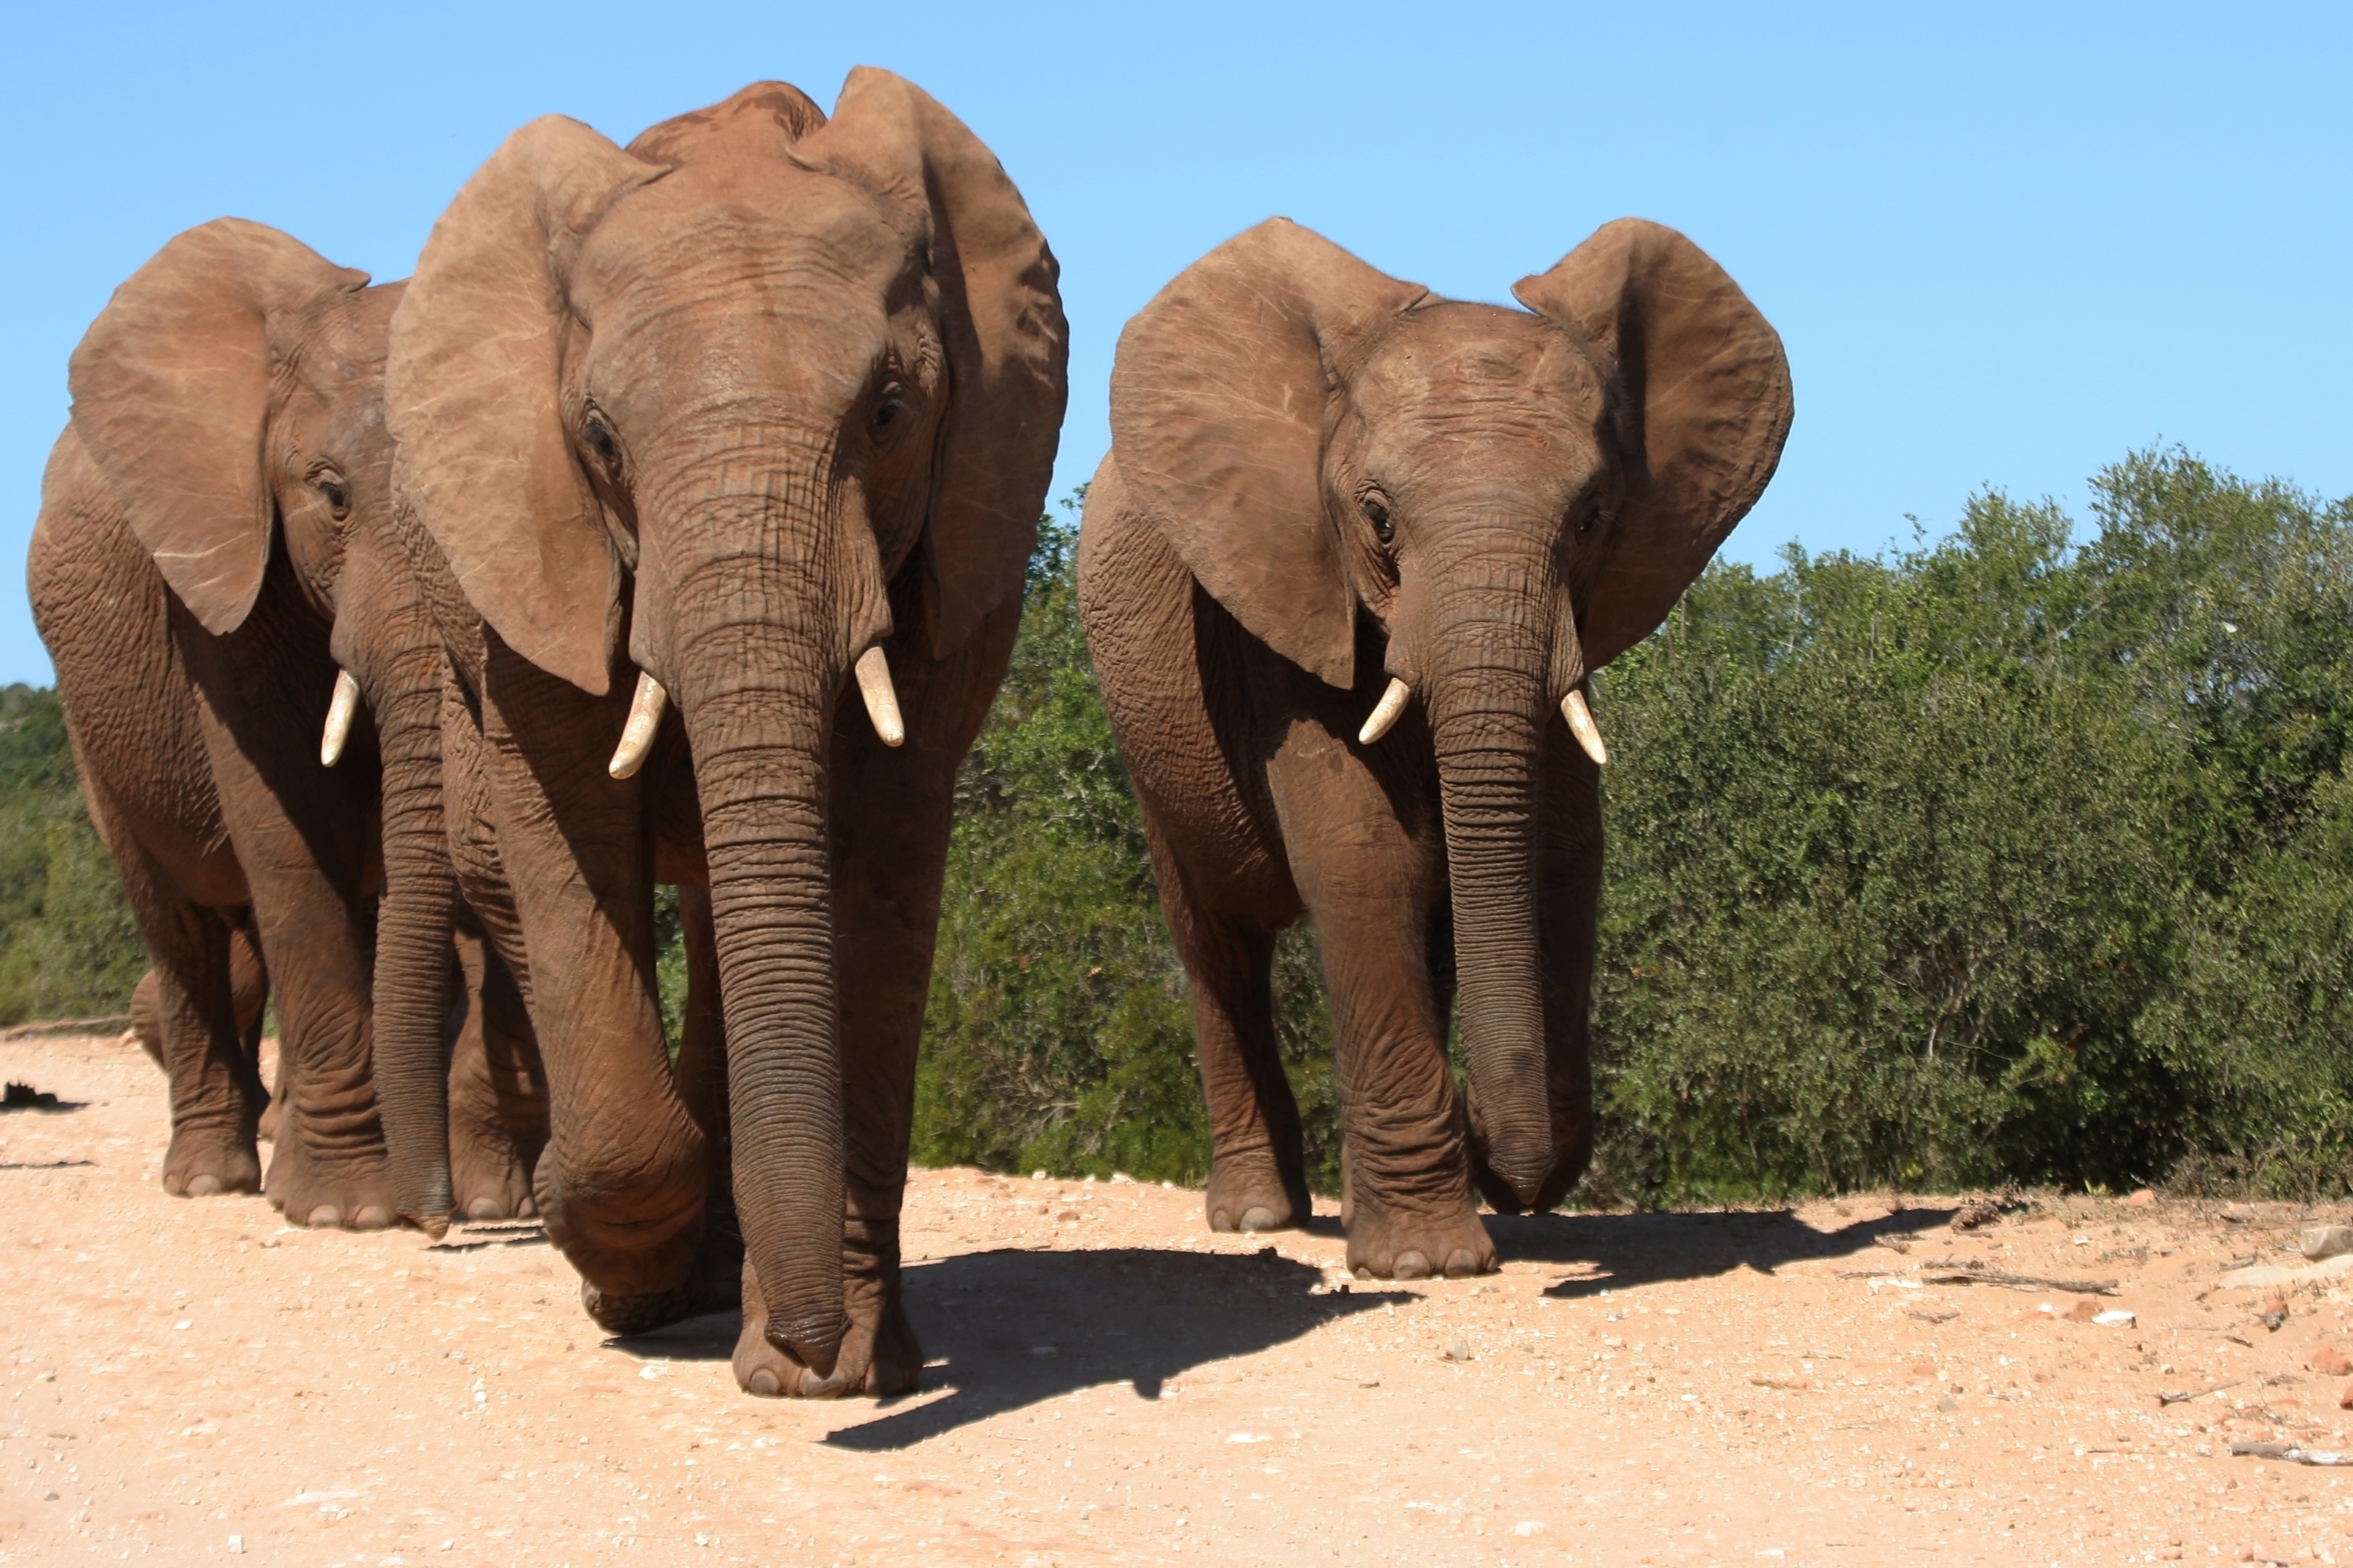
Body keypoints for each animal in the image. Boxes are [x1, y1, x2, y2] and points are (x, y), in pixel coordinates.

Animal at [27, 219, 545, 1225]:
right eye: (331, 494)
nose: (435, 1217)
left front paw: (492, 1201)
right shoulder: (220, 576)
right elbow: (290, 824)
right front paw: (349, 1211)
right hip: (88, 723)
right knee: (180, 926)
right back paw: (212, 1178)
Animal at [378, 72, 1065, 1397]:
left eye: (890, 412)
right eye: (599, 440)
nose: (803, 1341)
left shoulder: (955, 544)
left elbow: (884, 870)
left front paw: (836, 1372)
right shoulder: (534, 548)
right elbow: (567, 840)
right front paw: (626, 1274)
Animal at [1078, 217, 1791, 1278]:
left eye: (1590, 517)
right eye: (1377, 519)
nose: (1516, 1170)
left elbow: (1562, 848)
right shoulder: (1287, 591)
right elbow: (1365, 852)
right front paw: (1425, 1263)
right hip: (1147, 731)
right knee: (1216, 936)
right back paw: (1258, 1215)